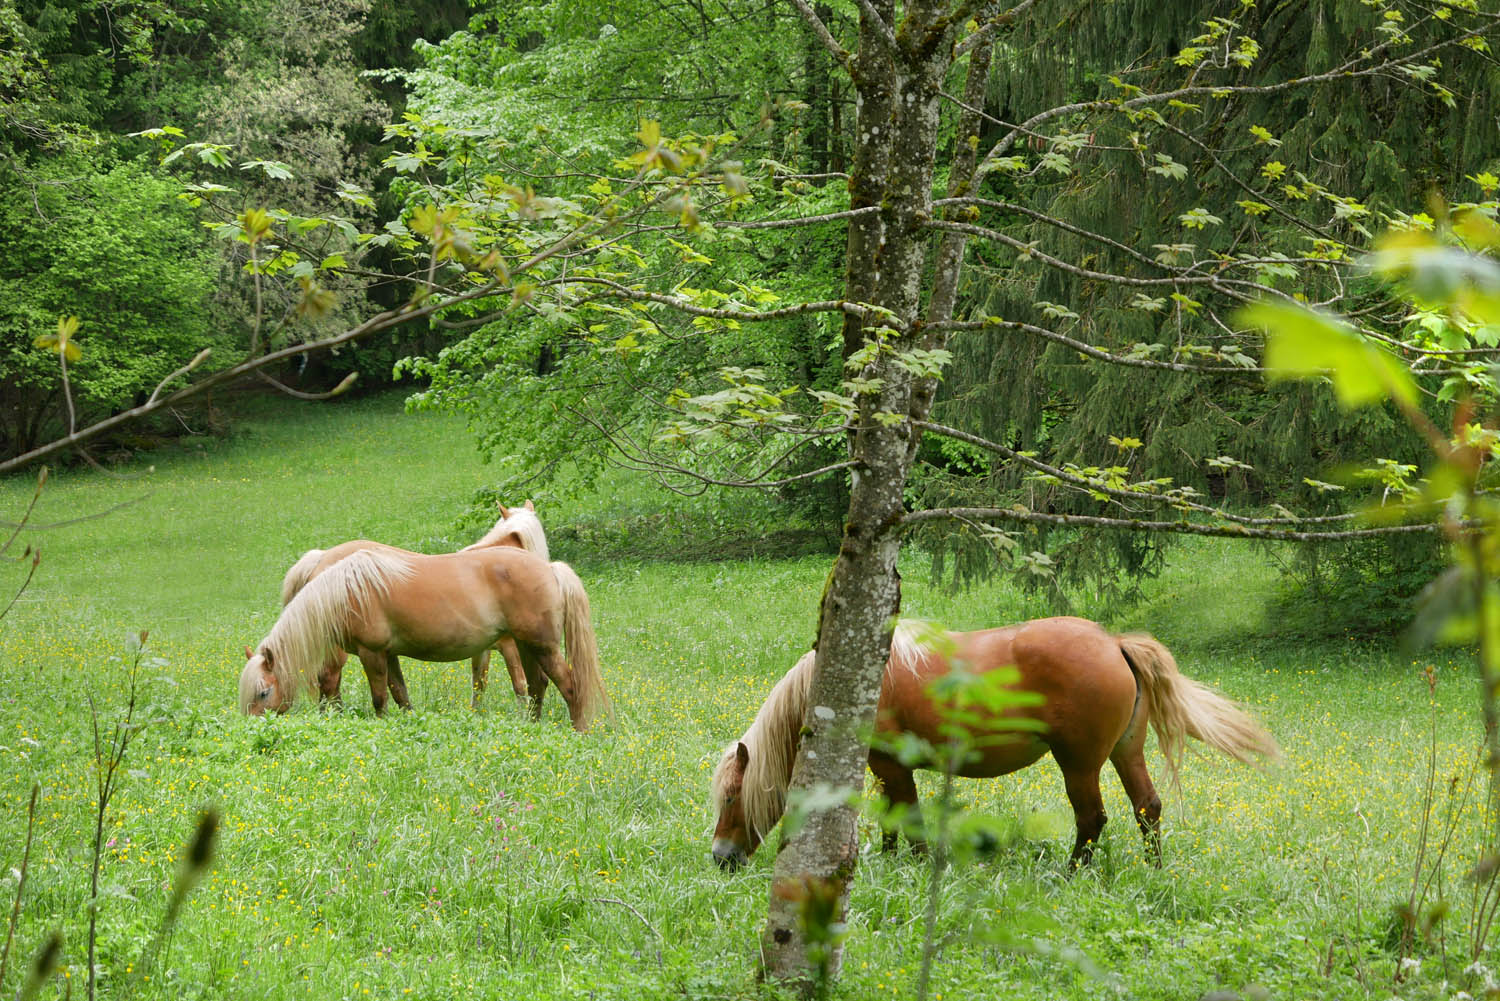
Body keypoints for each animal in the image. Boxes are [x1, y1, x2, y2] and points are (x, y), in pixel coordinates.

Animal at [240, 543, 609, 732]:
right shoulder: (389, 654)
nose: (251, 730)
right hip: (526, 645)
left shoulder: (372, 653)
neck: (347, 589)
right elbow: (400, 694)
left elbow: (380, 699)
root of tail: (550, 569)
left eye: (263, 692)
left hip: (540, 646)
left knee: (569, 685)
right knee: (537, 686)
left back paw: (579, 731)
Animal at [279, 498, 549, 705]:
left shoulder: (483, 649)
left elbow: (478, 686)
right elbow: (520, 685)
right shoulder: (509, 647)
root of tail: (322, 558)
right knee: (329, 680)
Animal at [714, 615, 1278, 870]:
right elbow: (892, 819)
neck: (854, 682)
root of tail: (1114, 642)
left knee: (1092, 819)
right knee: (1147, 808)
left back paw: (1071, 876)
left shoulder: (893, 766)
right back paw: (1154, 871)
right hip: (1126, 753)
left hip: (1079, 764)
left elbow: (908, 819)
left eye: (730, 797)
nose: (721, 857)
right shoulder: (884, 768)